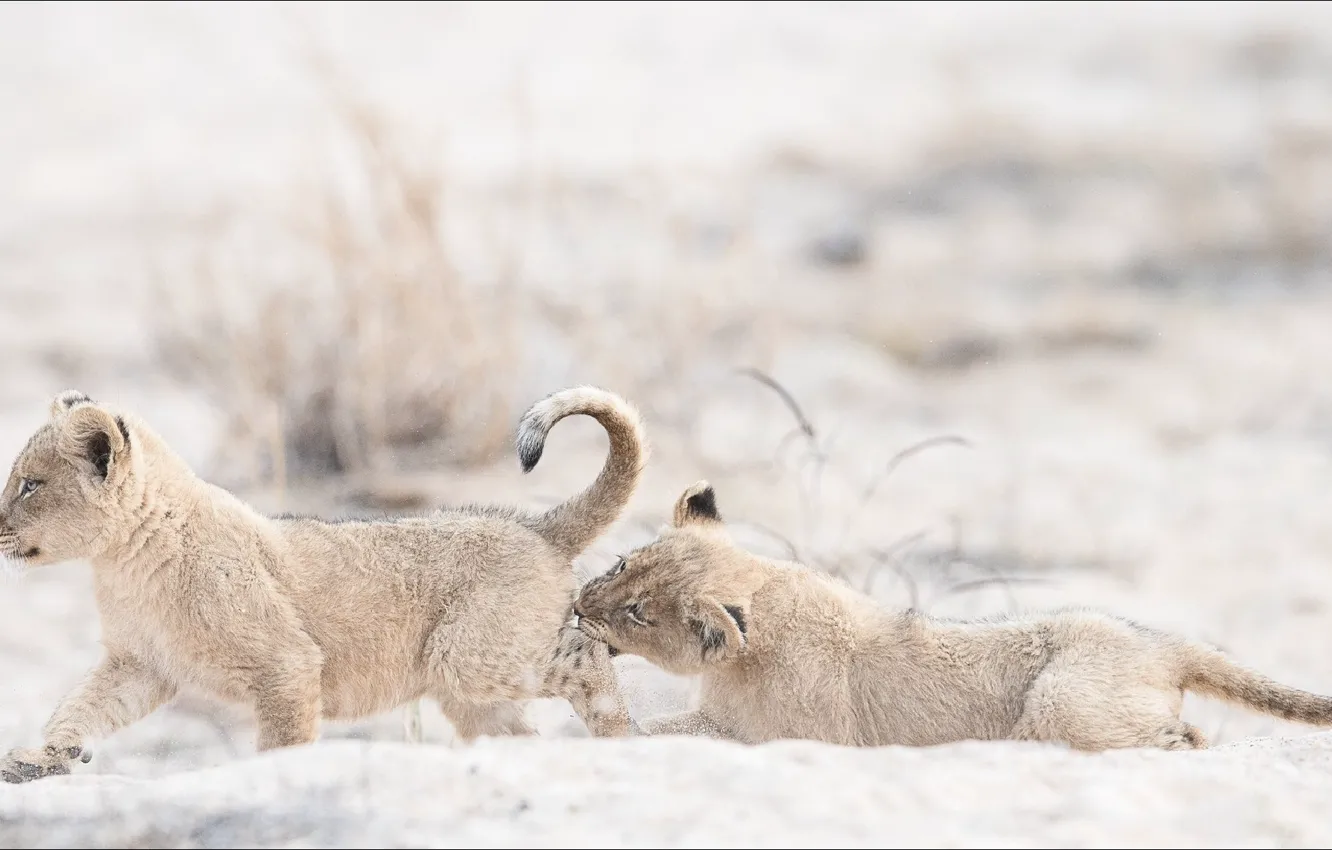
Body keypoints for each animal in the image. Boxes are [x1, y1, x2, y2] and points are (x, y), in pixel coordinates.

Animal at [0, 385, 647, 783]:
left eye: (29, 485)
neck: (124, 562)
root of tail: (535, 527)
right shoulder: (139, 663)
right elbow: (81, 708)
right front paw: (38, 760)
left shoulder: (286, 663)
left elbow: (283, 741)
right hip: (471, 692)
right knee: (519, 732)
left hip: (469, 657)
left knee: (587, 653)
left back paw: (625, 733)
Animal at [575, 480, 1332, 752]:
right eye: (622, 563)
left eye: (639, 613)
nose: (578, 606)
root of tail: (1163, 645)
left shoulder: (786, 734)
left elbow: (657, 730)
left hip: (1062, 702)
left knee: (1183, 739)